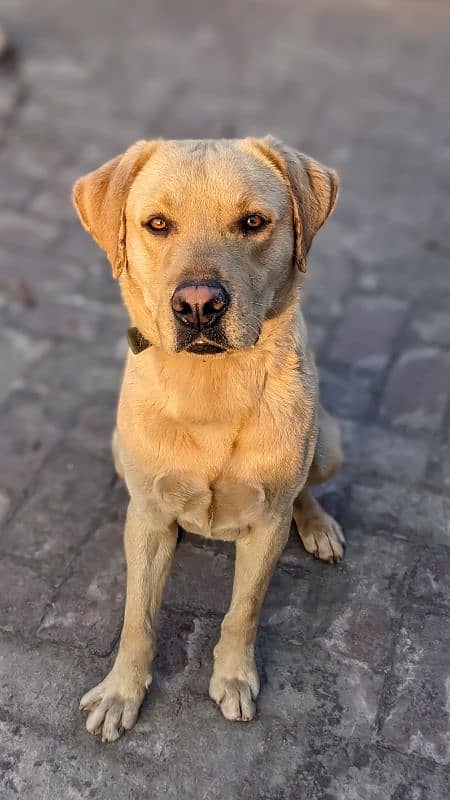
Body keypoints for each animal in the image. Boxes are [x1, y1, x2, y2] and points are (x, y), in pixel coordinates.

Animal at [72, 136, 344, 744]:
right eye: (156, 224)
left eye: (253, 222)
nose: (199, 304)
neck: (211, 391)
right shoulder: (147, 512)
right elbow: (138, 617)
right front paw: (122, 691)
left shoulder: (267, 525)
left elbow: (244, 610)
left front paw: (235, 677)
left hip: (329, 445)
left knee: (306, 487)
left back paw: (317, 524)